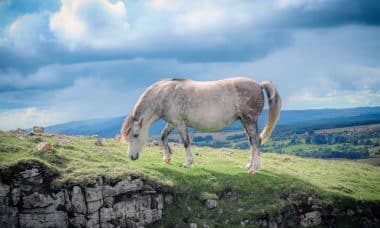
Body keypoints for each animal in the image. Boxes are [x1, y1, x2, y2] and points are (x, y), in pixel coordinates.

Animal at [120, 76, 280, 173]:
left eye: (136, 135)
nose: (131, 157)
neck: (164, 95)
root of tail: (258, 85)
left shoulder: (180, 123)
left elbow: (185, 142)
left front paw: (187, 163)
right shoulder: (172, 123)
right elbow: (162, 137)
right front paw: (167, 158)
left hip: (249, 119)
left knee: (256, 140)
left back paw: (255, 167)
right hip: (244, 120)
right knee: (252, 141)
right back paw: (250, 164)